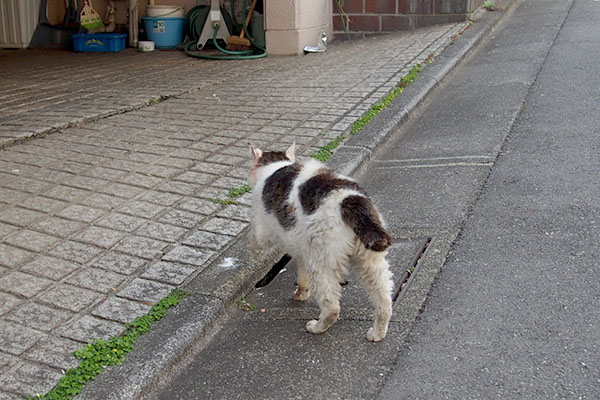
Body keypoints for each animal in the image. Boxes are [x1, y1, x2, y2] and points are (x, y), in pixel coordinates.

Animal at [248, 142, 394, 342]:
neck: (275, 166)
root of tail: (351, 200)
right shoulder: (301, 247)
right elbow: (302, 276)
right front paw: (301, 293)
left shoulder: (264, 229)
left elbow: (256, 242)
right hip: (370, 262)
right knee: (384, 301)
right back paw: (377, 334)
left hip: (321, 262)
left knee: (332, 307)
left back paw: (316, 327)